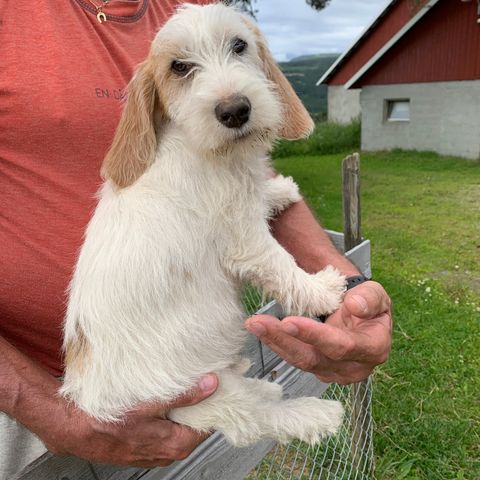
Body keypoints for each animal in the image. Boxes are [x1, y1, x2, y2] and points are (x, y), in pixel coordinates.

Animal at [62, 2, 346, 446]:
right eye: (179, 67)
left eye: (239, 45)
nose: (235, 111)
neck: (208, 150)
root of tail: (89, 400)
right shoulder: (246, 241)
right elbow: (282, 266)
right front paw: (322, 291)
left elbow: (261, 195)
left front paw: (279, 190)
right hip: (201, 393)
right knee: (251, 419)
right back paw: (315, 415)